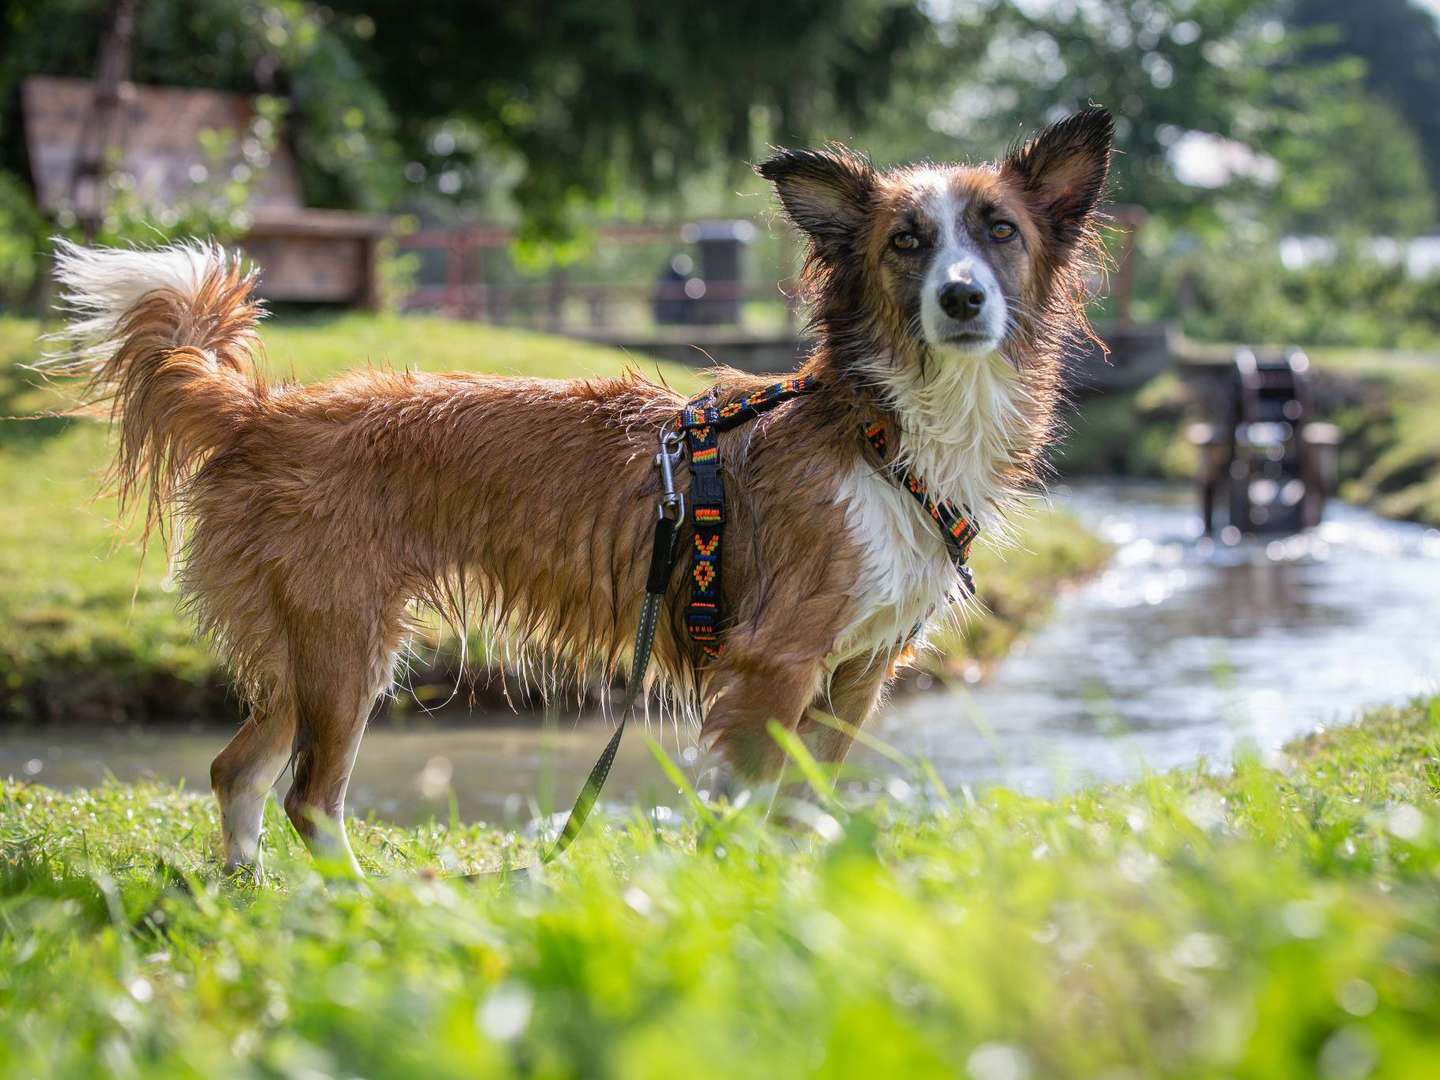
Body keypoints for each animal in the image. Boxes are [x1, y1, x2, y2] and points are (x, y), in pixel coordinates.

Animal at [50, 105, 1111, 875]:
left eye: (999, 231)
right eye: (905, 242)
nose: (963, 298)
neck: (883, 429)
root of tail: (262, 412)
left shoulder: (859, 672)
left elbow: (806, 801)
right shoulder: (774, 664)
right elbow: (761, 806)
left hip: (311, 646)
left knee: (236, 768)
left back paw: (257, 891)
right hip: (345, 645)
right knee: (309, 795)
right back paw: (354, 901)